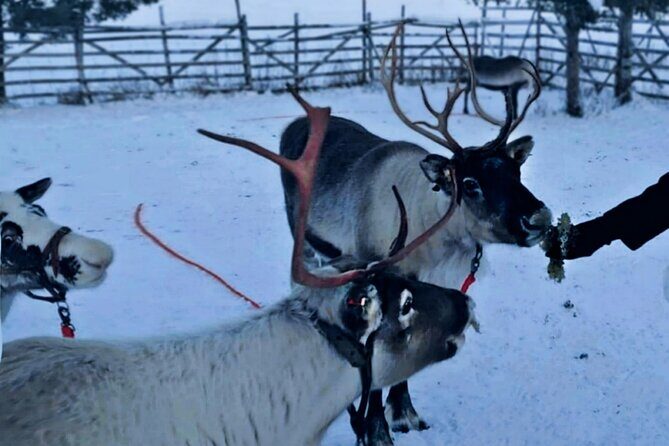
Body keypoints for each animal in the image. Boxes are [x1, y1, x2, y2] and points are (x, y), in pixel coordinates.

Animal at [270, 22, 551, 445]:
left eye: (515, 171)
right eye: (470, 184)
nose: (538, 218)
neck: (433, 239)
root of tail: (293, 125)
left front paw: (404, 413)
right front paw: (378, 429)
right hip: (302, 238)